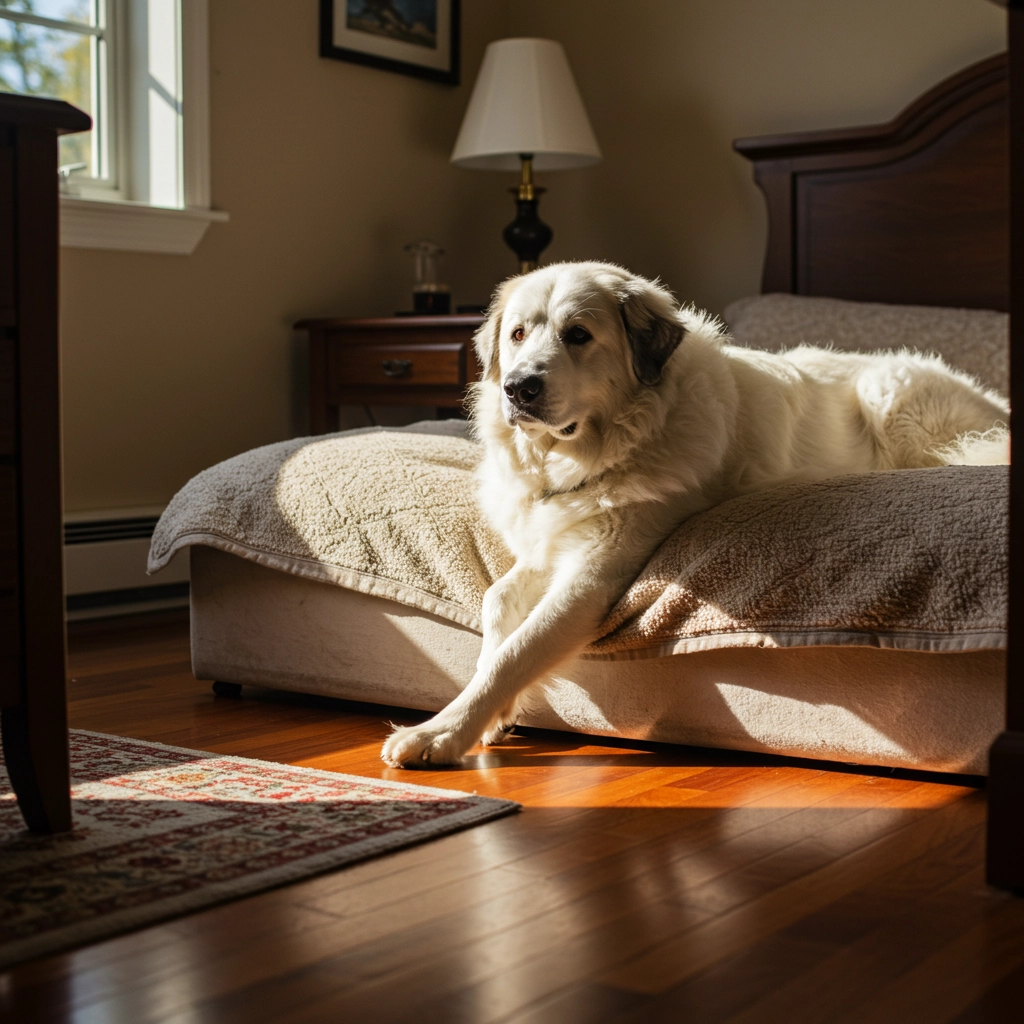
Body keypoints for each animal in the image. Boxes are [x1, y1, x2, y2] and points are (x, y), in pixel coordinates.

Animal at [378, 260, 1007, 765]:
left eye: (578, 335)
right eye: (517, 334)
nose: (517, 387)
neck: (593, 455)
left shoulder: (595, 574)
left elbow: (519, 651)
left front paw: (441, 733)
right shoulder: (552, 543)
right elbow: (495, 604)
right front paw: (493, 711)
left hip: (892, 394)